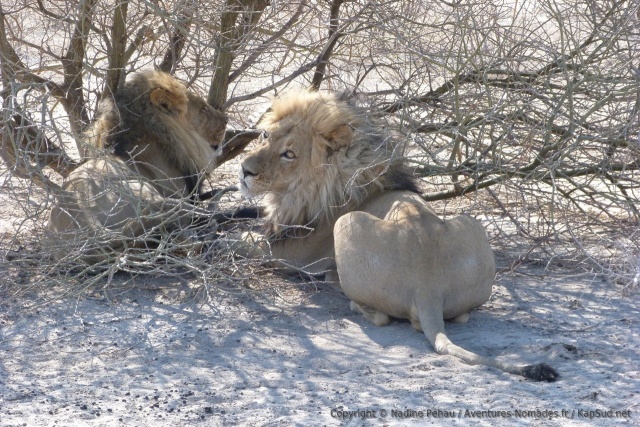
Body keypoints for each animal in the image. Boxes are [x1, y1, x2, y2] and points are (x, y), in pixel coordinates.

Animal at [237, 91, 559, 382]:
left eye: (289, 154)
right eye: (265, 135)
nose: (243, 170)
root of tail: (429, 286)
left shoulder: (290, 253)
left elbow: (239, 243)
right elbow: (242, 214)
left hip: (346, 224)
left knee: (384, 317)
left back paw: (344, 292)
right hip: (472, 224)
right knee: (461, 314)